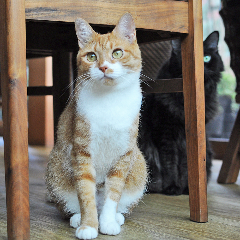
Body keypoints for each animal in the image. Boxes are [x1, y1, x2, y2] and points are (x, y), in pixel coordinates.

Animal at [44, 13, 146, 240]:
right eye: (91, 56)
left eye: (117, 53)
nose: (104, 67)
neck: (110, 101)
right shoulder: (81, 151)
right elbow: (86, 194)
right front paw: (88, 226)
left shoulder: (124, 155)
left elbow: (113, 192)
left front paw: (107, 223)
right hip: (56, 170)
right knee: (70, 205)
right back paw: (76, 218)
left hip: (139, 166)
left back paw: (116, 217)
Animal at [140, 31, 224, 195]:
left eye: (207, 57)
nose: (200, 69)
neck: (182, 101)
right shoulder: (165, 134)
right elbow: (169, 164)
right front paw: (172, 187)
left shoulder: (189, 137)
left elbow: (186, 166)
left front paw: (187, 188)